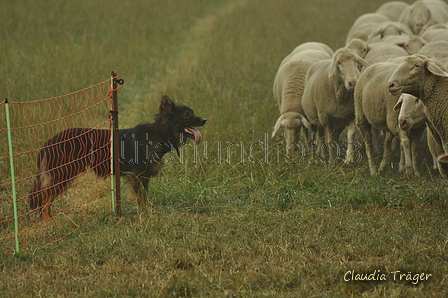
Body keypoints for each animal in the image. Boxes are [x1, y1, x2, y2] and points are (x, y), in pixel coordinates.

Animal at [26, 95, 205, 219]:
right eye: (187, 114)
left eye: (193, 112)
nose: (204, 120)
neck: (159, 133)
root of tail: (49, 142)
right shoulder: (137, 175)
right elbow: (141, 198)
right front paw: (144, 215)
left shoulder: (144, 176)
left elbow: (145, 198)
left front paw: (146, 212)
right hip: (62, 173)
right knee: (44, 198)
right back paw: (47, 221)